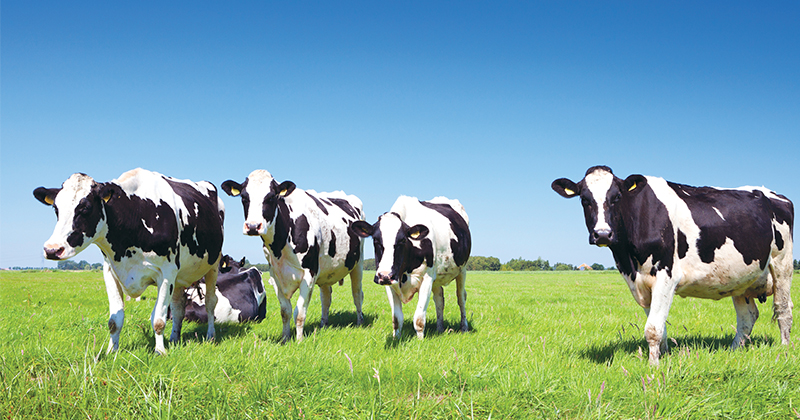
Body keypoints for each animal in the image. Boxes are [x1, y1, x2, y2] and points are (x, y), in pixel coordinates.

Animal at [32, 167, 223, 354]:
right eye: (56, 208)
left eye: (85, 208)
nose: (52, 249)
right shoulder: (110, 271)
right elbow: (114, 320)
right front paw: (111, 351)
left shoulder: (166, 272)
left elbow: (158, 320)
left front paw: (160, 352)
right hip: (180, 276)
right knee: (178, 308)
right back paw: (174, 338)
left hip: (213, 265)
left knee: (210, 302)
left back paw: (210, 336)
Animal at [222, 169, 366, 342]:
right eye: (244, 197)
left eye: (271, 197)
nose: (253, 226)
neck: (280, 245)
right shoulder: (275, 275)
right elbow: (285, 311)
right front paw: (285, 338)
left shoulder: (309, 274)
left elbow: (299, 312)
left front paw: (299, 341)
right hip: (326, 270)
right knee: (326, 297)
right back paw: (323, 324)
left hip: (358, 263)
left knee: (357, 294)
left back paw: (359, 322)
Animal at [354, 196, 472, 338]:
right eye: (375, 240)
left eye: (402, 240)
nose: (385, 275)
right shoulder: (390, 282)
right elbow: (397, 319)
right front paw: (396, 338)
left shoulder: (426, 278)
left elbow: (419, 319)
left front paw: (420, 340)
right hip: (436, 278)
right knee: (439, 299)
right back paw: (439, 328)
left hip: (462, 270)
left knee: (461, 297)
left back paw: (464, 327)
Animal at [552, 166, 796, 362]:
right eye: (584, 199)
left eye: (617, 197)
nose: (602, 234)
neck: (629, 260)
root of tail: (773, 194)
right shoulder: (641, 283)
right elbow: (660, 327)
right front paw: (663, 355)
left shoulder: (666, 274)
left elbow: (652, 328)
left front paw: (653, 367)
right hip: (741, 278)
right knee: (747, 317)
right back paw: (733, 351)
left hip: (782, 263)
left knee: (783, 309)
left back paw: (784, 351)